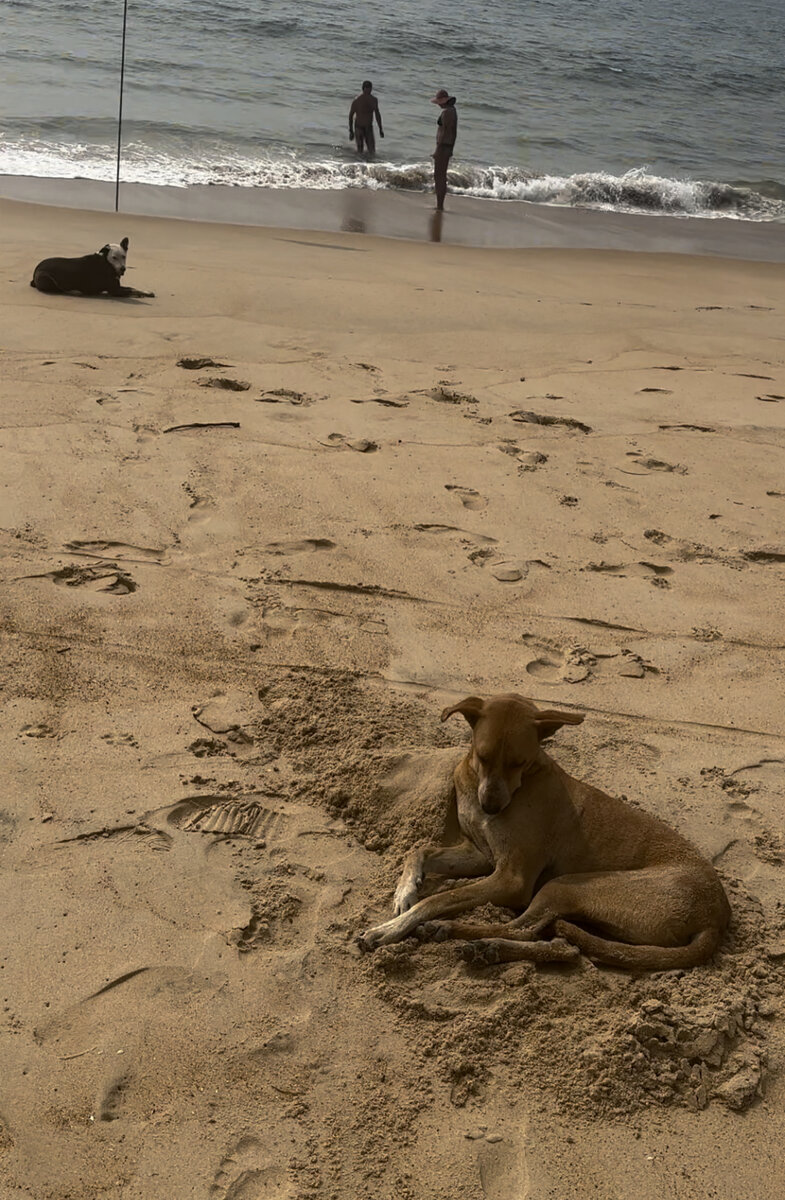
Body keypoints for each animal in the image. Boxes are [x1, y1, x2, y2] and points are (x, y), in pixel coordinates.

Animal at [360, 691, 734, 969]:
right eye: (482, 756)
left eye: (520, 762)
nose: (491, 808)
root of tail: (715, 918)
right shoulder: (480, 854)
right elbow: (419, 850)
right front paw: (405, 891)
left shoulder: (511, 879)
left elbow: (438, 898)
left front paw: (389, 929)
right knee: (556, 941)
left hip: (567, 886)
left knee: (523, 927)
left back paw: (464, 935)